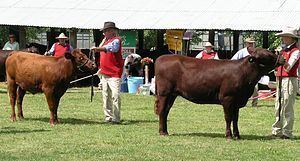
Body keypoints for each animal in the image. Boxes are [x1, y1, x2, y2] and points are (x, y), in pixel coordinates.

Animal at [154, 48, 284, 140]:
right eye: (267, 55)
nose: (282, 59)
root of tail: (161, 58)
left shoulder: (237, 101)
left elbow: (236, 119)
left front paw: (237, 135)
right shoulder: (227, 98)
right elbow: (228, 118)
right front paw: (228, 135)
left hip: (172, 95)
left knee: (166, 111)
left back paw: (165, 131)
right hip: (164, 93)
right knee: (162, 110)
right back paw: (162, 132)